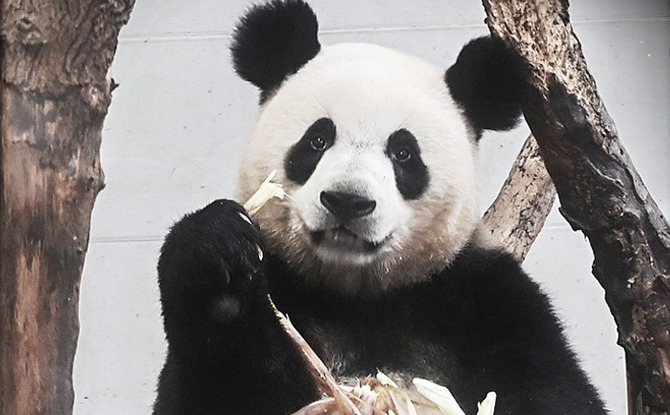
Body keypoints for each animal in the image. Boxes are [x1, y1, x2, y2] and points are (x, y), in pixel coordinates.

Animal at [155, 0, 612, 415]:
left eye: (404, 153)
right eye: (317, 140)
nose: (347, 201)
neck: (356, 294)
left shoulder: (488, 301)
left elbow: (554, 389)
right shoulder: (285, 287)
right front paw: (219, 269)